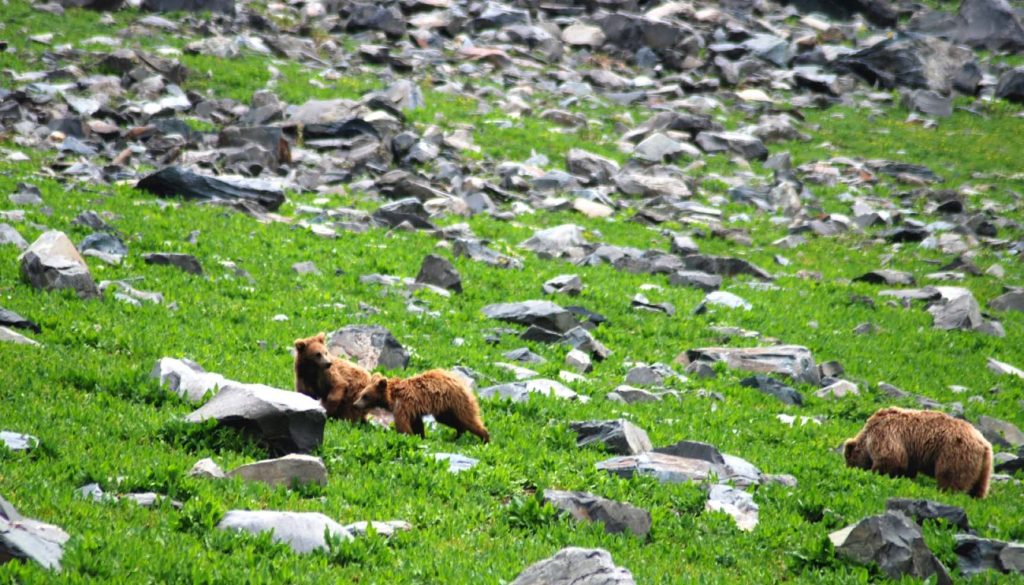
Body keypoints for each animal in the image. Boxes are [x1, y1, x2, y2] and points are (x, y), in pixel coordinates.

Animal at [354, 370, 489, 444]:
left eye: (365, 396)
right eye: (361, 394)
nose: (355, 404)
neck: (391, 396)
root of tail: (461, 382)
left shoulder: (403, 405)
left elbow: (402, 423)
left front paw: (406, 436)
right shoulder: (413, 410)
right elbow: (417, 424)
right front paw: (421, 436)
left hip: (456, 402)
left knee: (468, 419)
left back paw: (485, 438)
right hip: (445, 409)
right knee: (451, 420)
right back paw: (456, 435)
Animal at [839, 407, 991, 499]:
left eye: (849, 461)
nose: (848, 470)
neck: (867, 437)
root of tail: (983, 443)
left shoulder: (885, 434)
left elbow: (890, 457)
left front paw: (877, 472)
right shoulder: (909, 452)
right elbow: (907, 467)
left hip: (954, 453)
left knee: (951, 477)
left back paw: (945, 491)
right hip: (983, 467)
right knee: (979, 485)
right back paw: (976, 496)